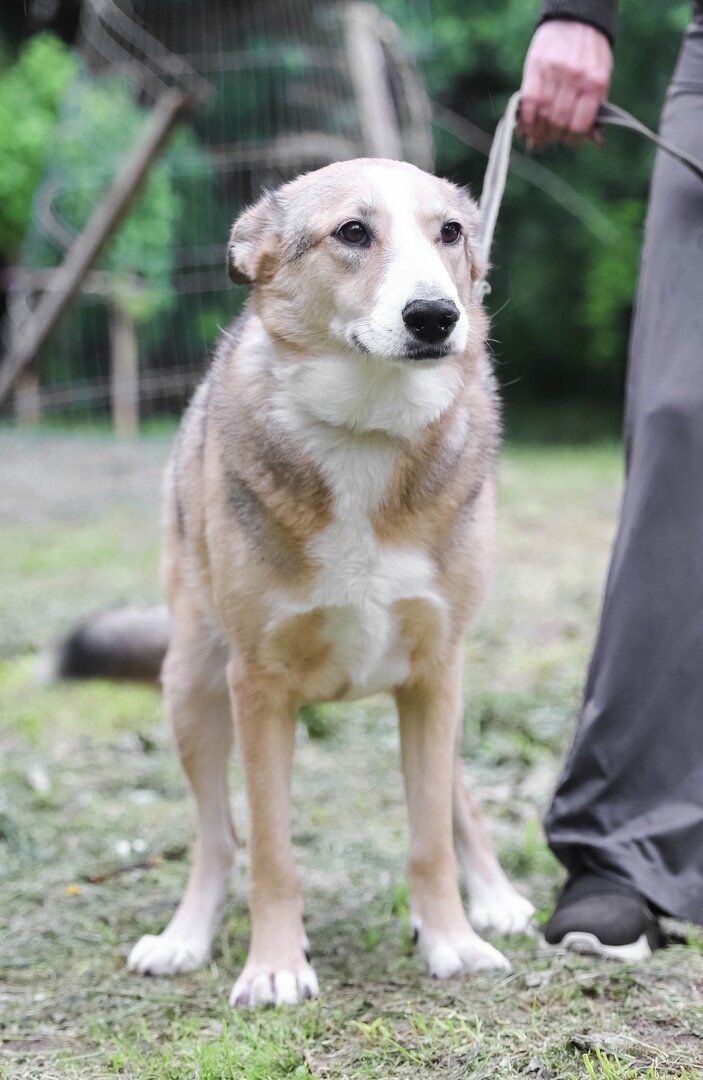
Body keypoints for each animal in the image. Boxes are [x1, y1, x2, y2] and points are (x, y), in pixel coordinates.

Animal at [56, 157, 533, 1002]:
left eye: (449, 232)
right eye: (353, 232)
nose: (435, 317)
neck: (367, 430)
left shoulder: (435, 675)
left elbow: (428, 838)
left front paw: (451, 939)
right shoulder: (258, 685)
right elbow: (270, 850)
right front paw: (275, 966)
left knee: (454, 803)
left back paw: (494, 898)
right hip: (193, 687)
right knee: (217, 836)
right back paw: (185, 937)